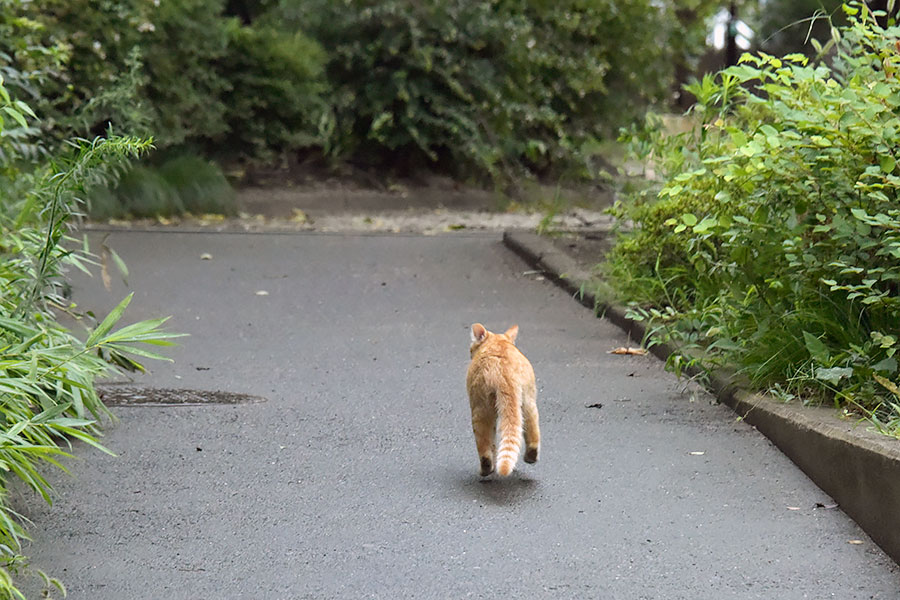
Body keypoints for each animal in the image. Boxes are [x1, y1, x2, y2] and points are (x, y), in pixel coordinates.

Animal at [468, 324, 536, 478]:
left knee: (484, 444)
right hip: (528, 401)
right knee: (532, 430)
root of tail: (504, 374)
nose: (470, 353)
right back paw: (531, 456)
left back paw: (486, 469)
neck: (497, 342)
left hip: (480, 408)